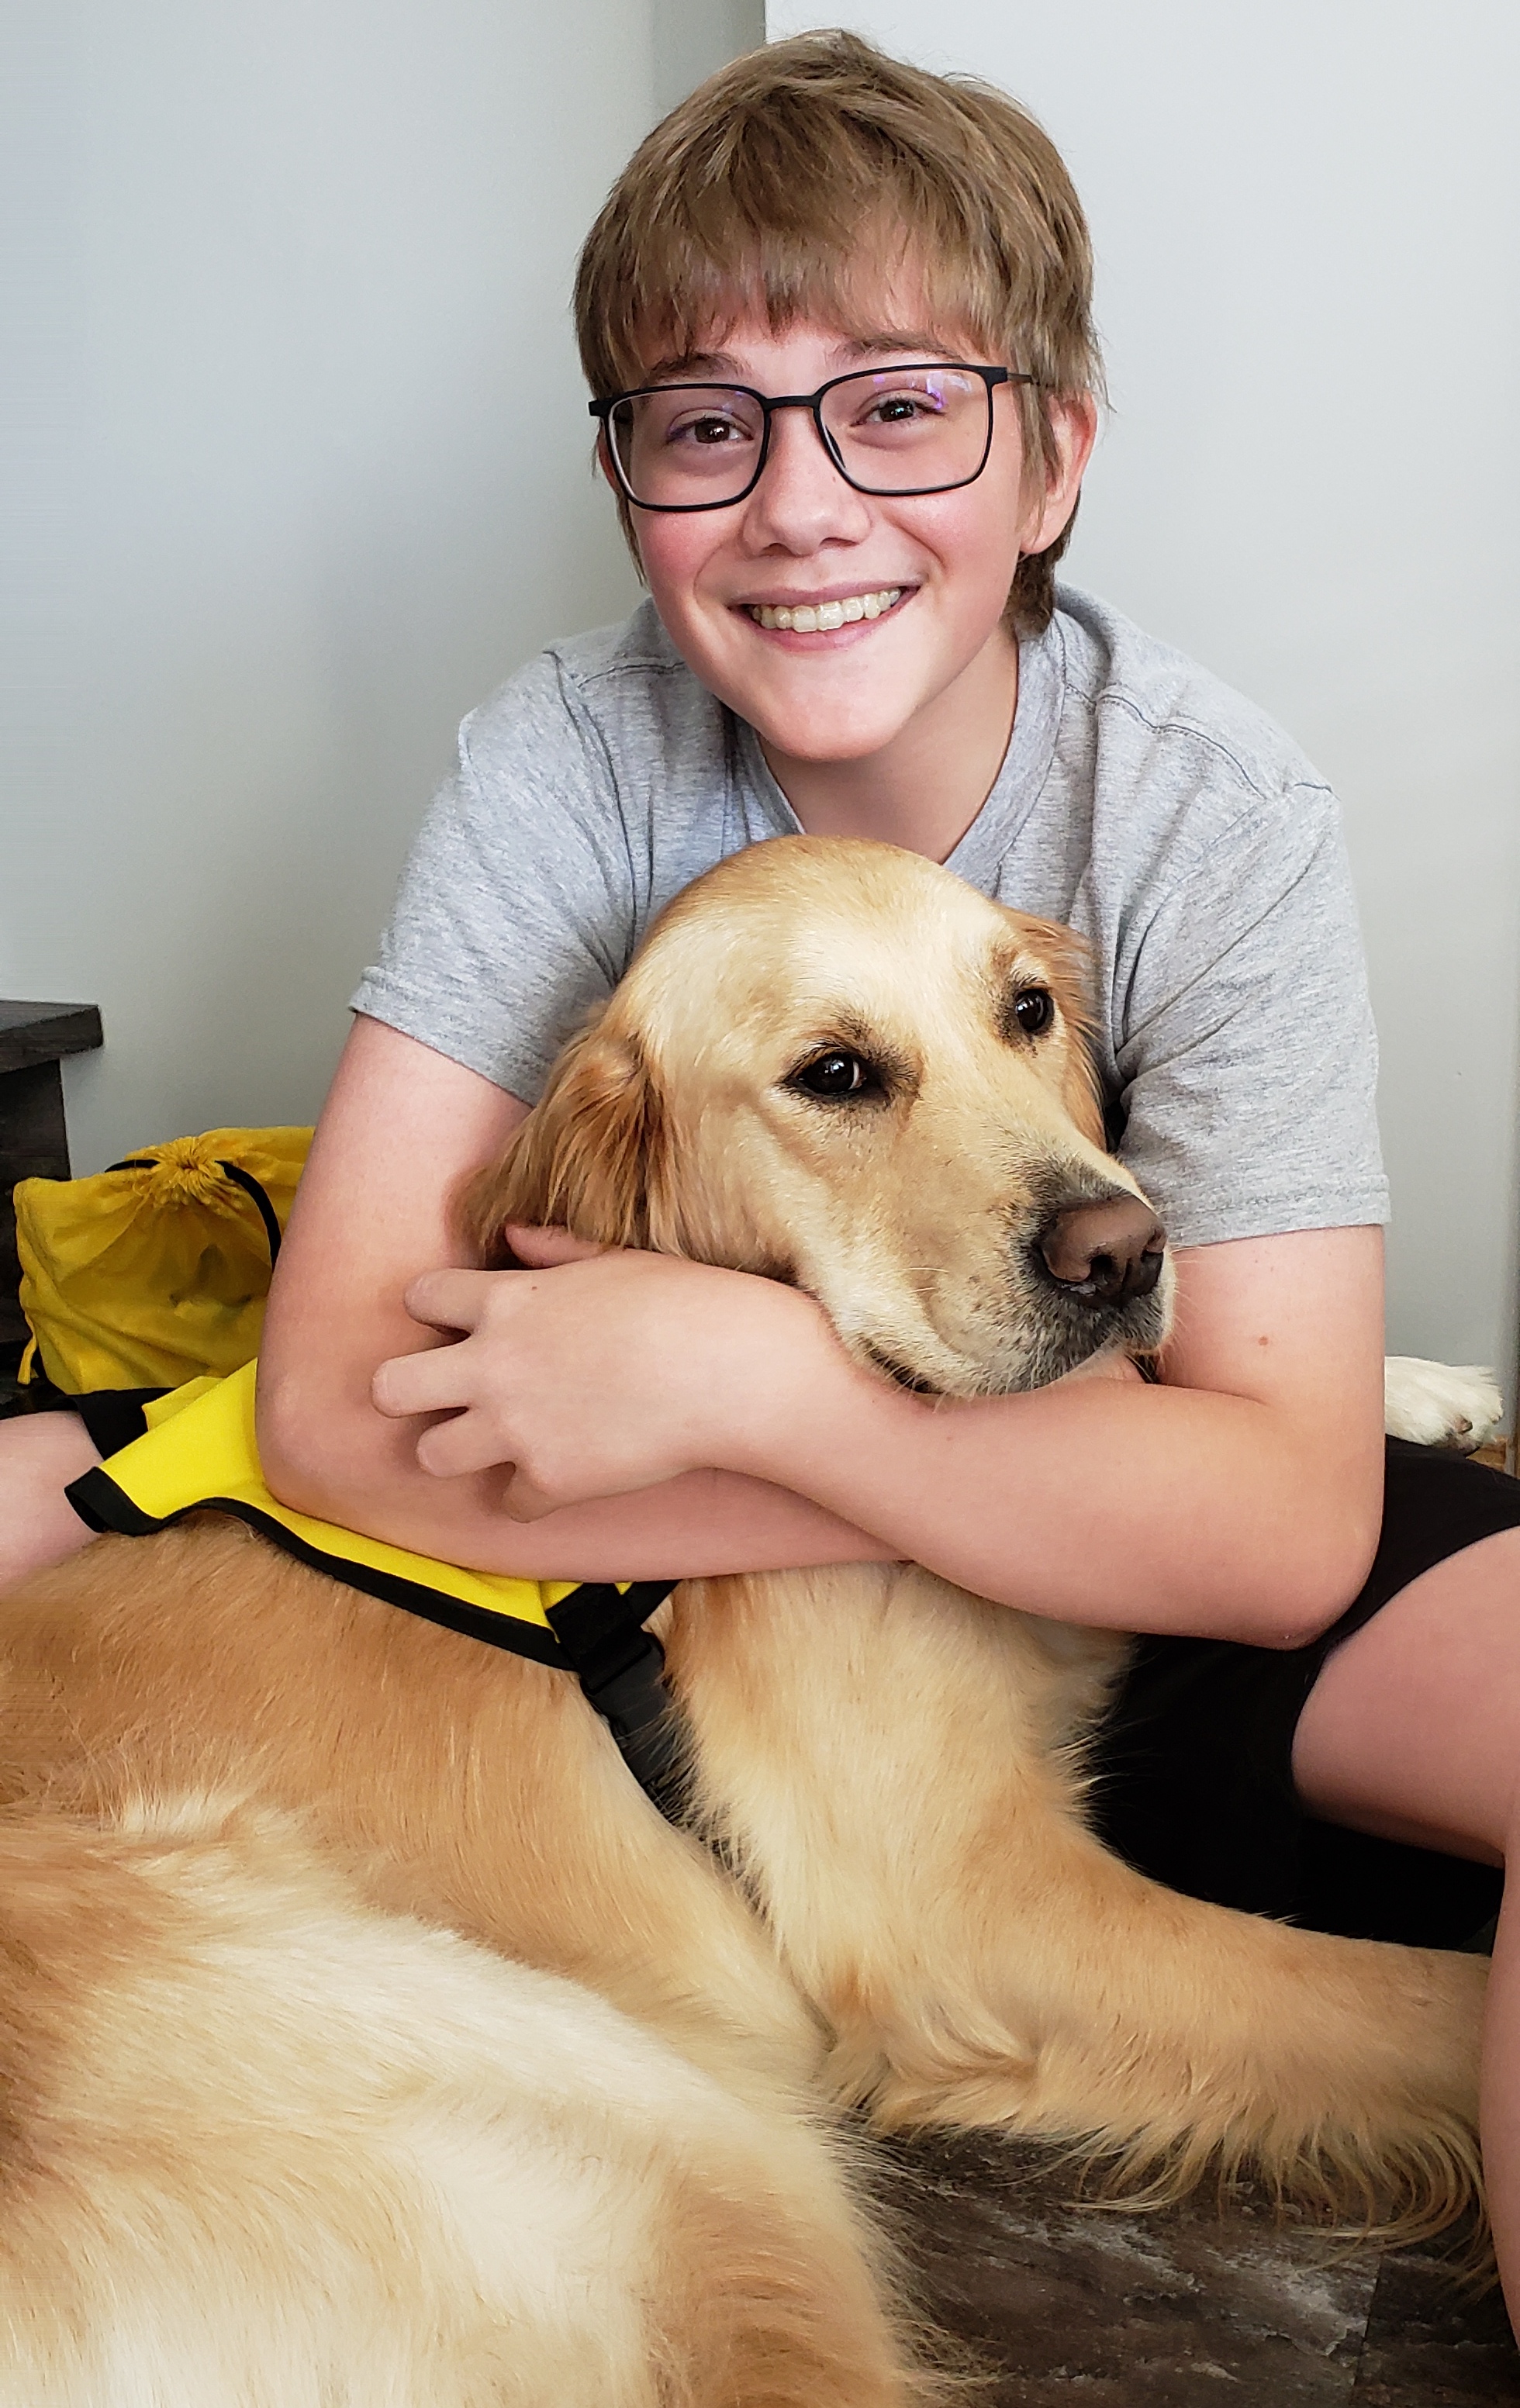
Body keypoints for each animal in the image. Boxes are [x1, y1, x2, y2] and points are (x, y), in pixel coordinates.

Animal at [0, 833, 1503, 2408]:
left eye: (1027, 1010)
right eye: (834, 1075)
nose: (1123, 1251)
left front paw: (1420, 1387)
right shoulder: (971, 1906)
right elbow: (1414, 1999)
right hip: (677, 2139)